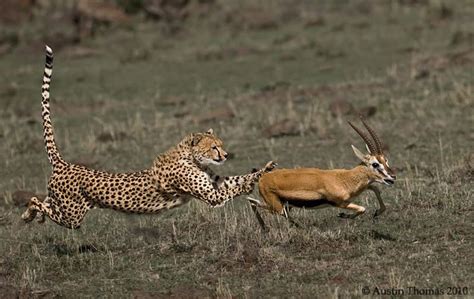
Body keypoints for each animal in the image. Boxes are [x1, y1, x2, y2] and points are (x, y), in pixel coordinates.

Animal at [20, 46, 276, 230]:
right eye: (214, 147)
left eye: (220, 146)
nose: (225, 155)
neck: (192, 158)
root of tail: (65, 164)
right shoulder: (212, 195)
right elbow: (238, 186)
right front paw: (261, 174)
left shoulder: (215, 183)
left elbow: (239, 179)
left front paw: (265, 168)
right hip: (72, 216)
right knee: (36, 200)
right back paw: (29, 214)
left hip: (65, 207)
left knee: (43, 201)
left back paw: (30, 215)